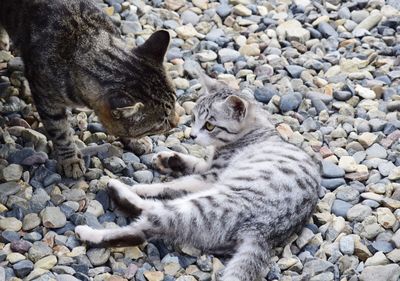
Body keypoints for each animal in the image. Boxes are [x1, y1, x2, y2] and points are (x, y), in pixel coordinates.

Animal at [0, 0, 178, 177]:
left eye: (176, 103)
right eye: (162, 121)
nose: (177, 122)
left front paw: (135, 141)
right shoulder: (46, 99)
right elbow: (61, 132)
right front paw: (70, 160)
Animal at [76, 72, 322, 280]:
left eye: (210, 125)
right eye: (193, 117)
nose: (192, 135)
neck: (255, 130)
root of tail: (262, 232)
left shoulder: (210, 177)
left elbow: (173, 184)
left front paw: (145, 185)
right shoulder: (207, 167)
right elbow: (192, 163)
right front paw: (168, 159)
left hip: (204, 204)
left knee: (148, 221)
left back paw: (99, 217)